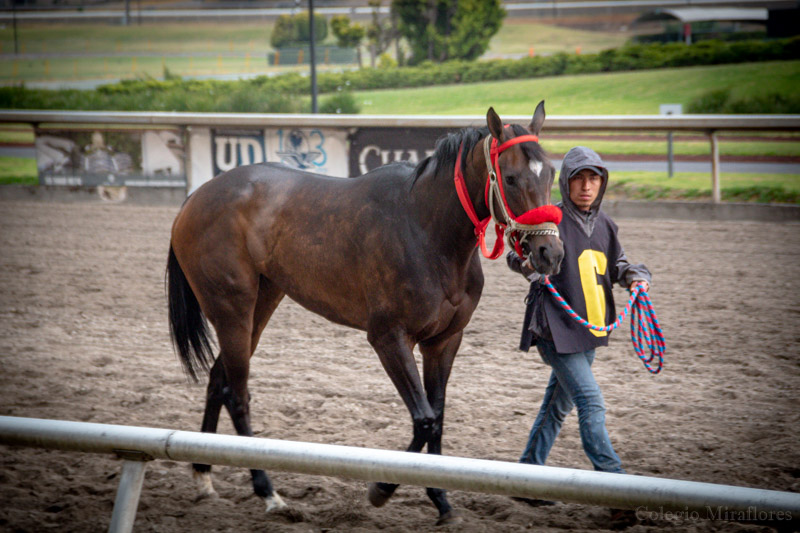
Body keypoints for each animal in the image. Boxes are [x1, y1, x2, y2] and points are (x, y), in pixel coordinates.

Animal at [166, 101, 564, 524]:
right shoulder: (389, 338)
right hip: (232, 309)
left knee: (217, 379)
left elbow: (437, 418)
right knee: (237, 393)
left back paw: (203, 474)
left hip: (262, 302)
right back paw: (268, 492)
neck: (426, 229)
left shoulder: (444, 341)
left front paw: (441, 499)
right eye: (510, 177)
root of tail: (195, 198)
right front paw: (382, 488)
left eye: (551, 172)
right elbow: (424, 419)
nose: (550, 253)